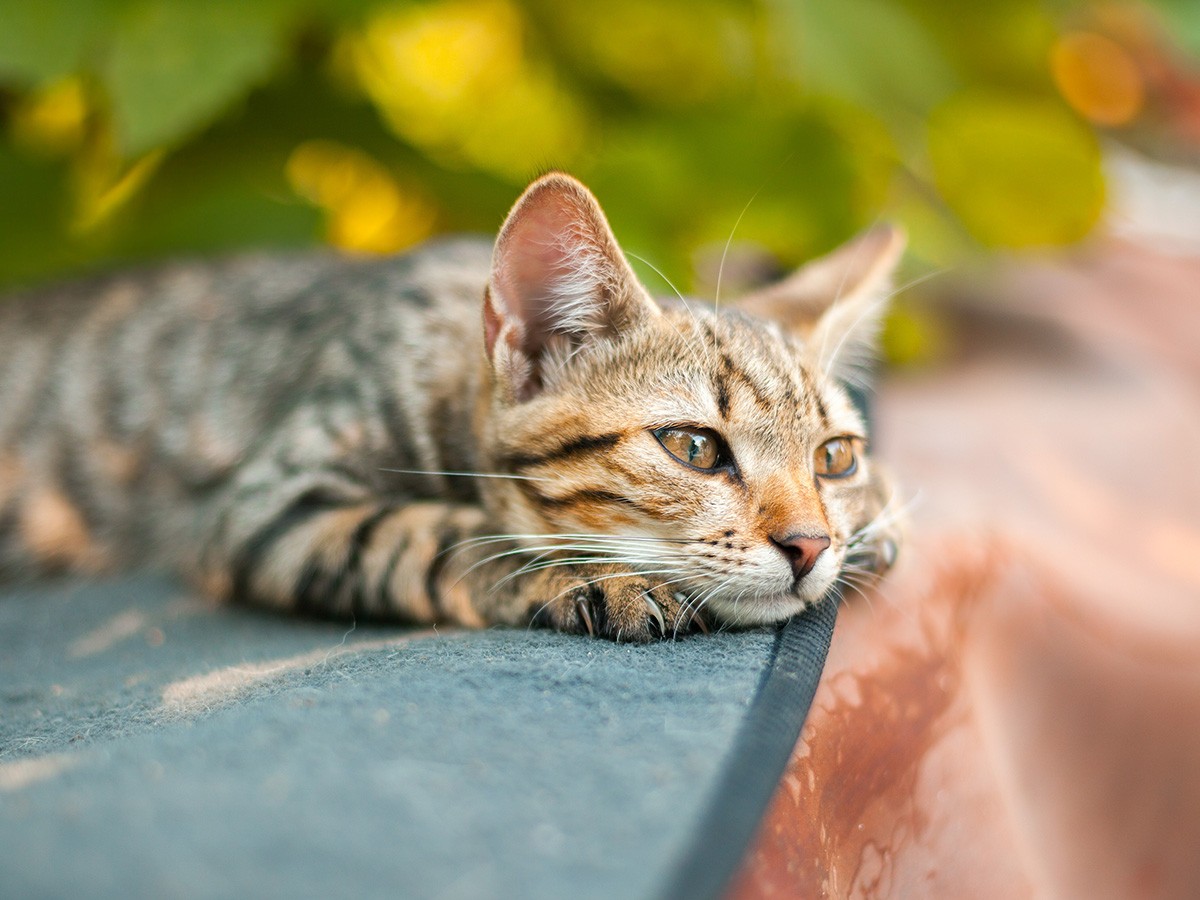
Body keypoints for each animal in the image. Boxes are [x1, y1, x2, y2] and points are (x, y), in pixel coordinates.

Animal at [0, 174, 902, 643]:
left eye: (834, 458)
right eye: (694, 447)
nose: (810, 545)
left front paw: (877, 523)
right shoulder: (270, 501)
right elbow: (435, 529)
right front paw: (592, 572)